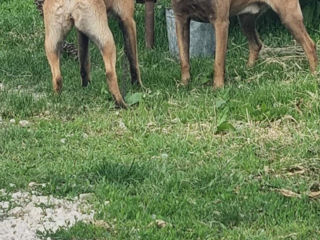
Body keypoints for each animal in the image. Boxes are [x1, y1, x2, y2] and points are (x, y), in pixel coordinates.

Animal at [171, 0, 316, 88]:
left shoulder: (220, 22)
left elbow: (218, 61)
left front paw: (218, 87)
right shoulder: (180, 19)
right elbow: (184, 59)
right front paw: (184, 84)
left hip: (288, 15)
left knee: (310, 45)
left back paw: (314, 74)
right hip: (246, 19)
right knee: (256, 45)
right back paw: (249, 68)